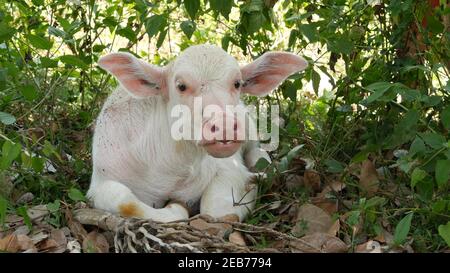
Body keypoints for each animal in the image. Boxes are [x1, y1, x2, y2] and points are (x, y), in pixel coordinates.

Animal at [86, 43, 308, 221]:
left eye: (237, 83)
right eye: (181, 86)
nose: (225, 125)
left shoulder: (230, 168)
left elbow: (215, 210)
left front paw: (253, 183)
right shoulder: (100, 182)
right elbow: (125, 201)